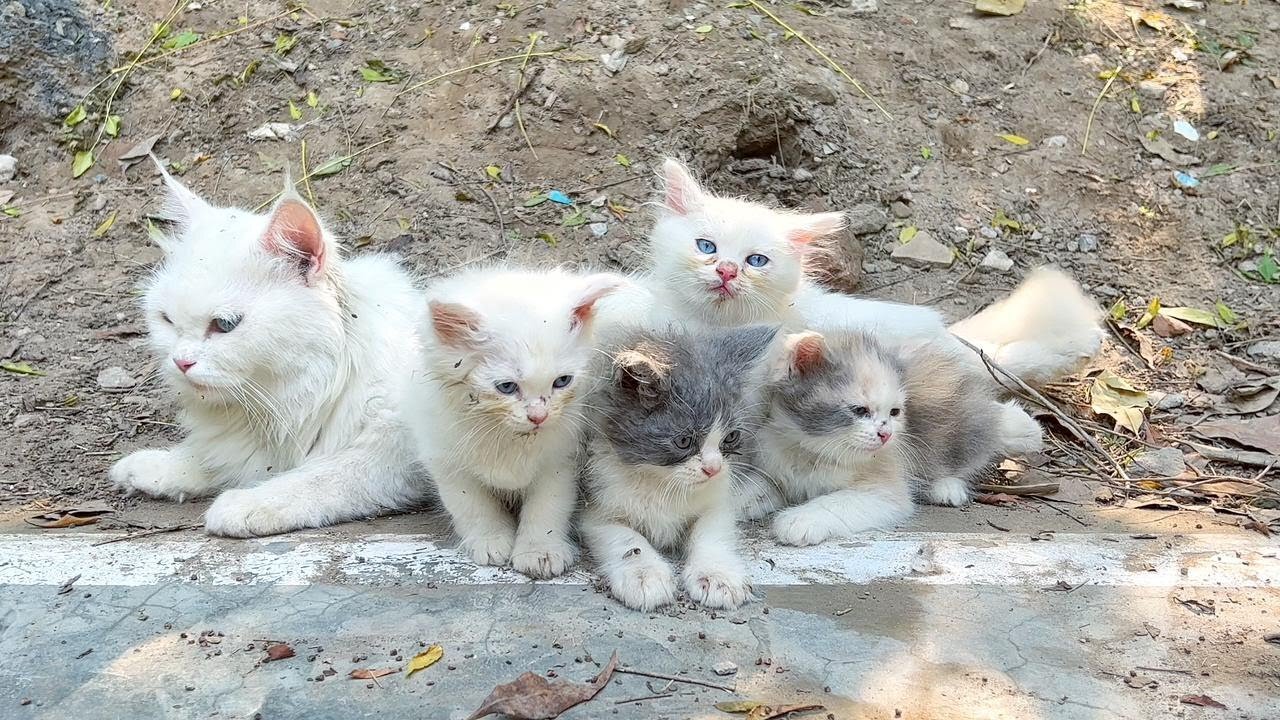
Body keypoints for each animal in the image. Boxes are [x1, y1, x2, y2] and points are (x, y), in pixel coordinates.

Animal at [110, 162, 424, 532]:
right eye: (167, 320)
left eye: (224, 325)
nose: (181, 362)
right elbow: (207, 457)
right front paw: (153, 468)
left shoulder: (394, 451)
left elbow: (320, 477)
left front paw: (249, 504)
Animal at [399, 265, 619, 576]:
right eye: (506, 387)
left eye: (562, 381)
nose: (538, 416)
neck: (506, 434)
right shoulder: (444, 458)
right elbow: (470, 504)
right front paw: (489, 540)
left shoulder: (561, 458)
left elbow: (548, 506)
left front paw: (540, 550)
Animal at [583, 322, 778, 607]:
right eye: (684, 441)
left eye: (731, 436)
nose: (713, 468)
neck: (662, 481)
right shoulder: (594, 500)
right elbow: (623, 537)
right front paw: (644, 574)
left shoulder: (717, 498)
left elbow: (711, 530)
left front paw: (717, 574)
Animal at [752, 330, 1044, 543]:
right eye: (860, 410)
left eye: (895, 412)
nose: (886, 434)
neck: (811, 451)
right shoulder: (772, 468)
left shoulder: (885, 489)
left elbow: (836, 502)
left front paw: (800, 520)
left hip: (958, 431)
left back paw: (947, 487)